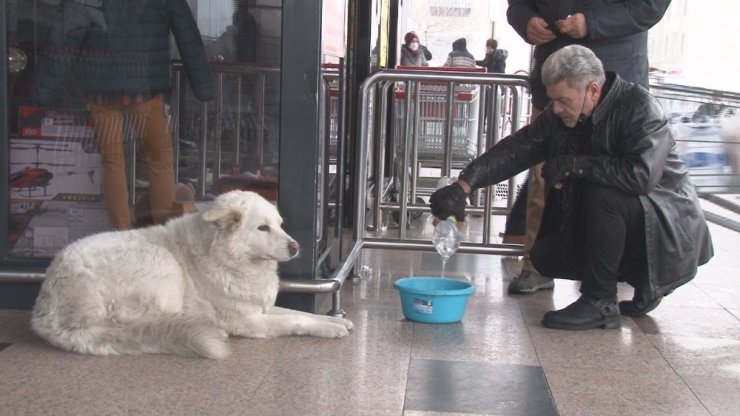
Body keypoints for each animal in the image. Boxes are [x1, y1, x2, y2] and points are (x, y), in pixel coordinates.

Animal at [30, 191, 352, 358]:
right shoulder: (249, 321)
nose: (296, 246)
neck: (228, 257)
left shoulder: (261, 308)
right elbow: (295, 320)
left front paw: (334, 321)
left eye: (280, 224)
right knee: (143, 322)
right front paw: (328, 329)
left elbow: (300, 313)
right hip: (161, 263)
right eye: (263, 228)